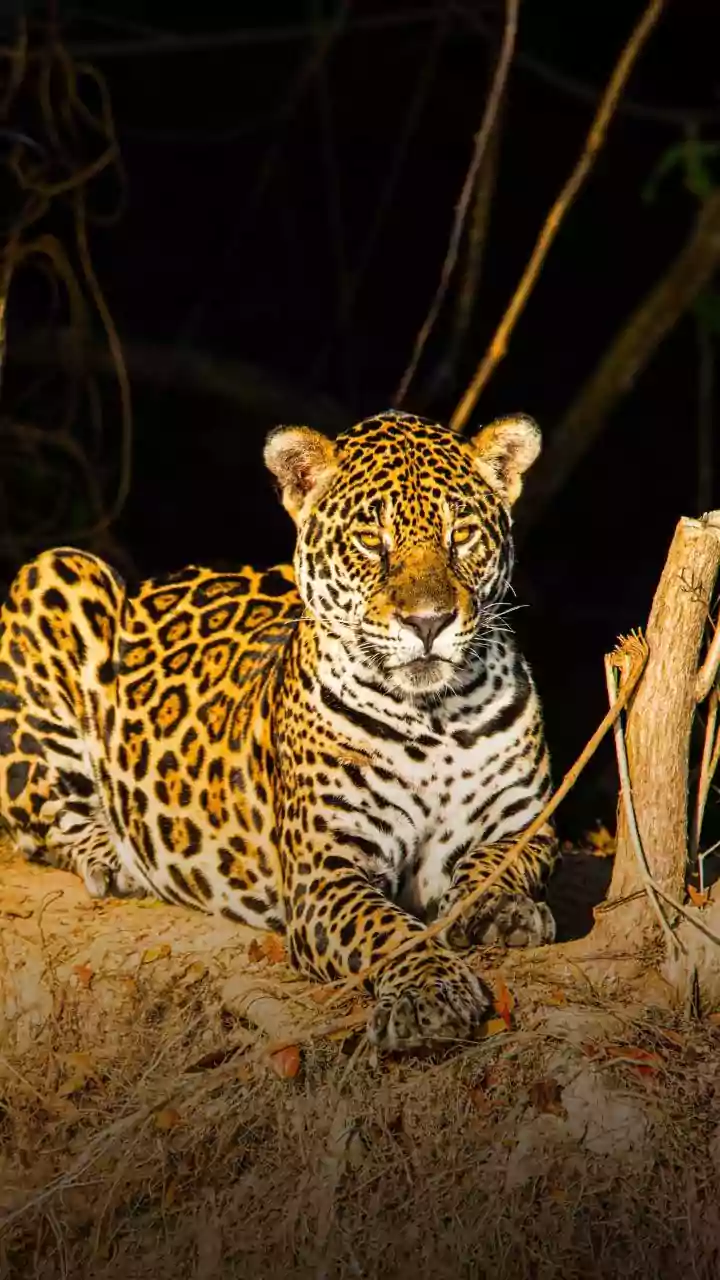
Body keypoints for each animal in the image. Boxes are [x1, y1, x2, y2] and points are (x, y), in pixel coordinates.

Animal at [0, 409, 558, 1051]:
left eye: (461, 534)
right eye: (371, 541)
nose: (428, 622)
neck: (435, 716)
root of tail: (155, 579)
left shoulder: (528, 824)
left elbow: (497, 862)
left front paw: (505, 910)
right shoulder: (325, 873)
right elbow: (387, 929)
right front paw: (429, 993)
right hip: (57, 572)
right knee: (42, 814)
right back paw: (114, 860)